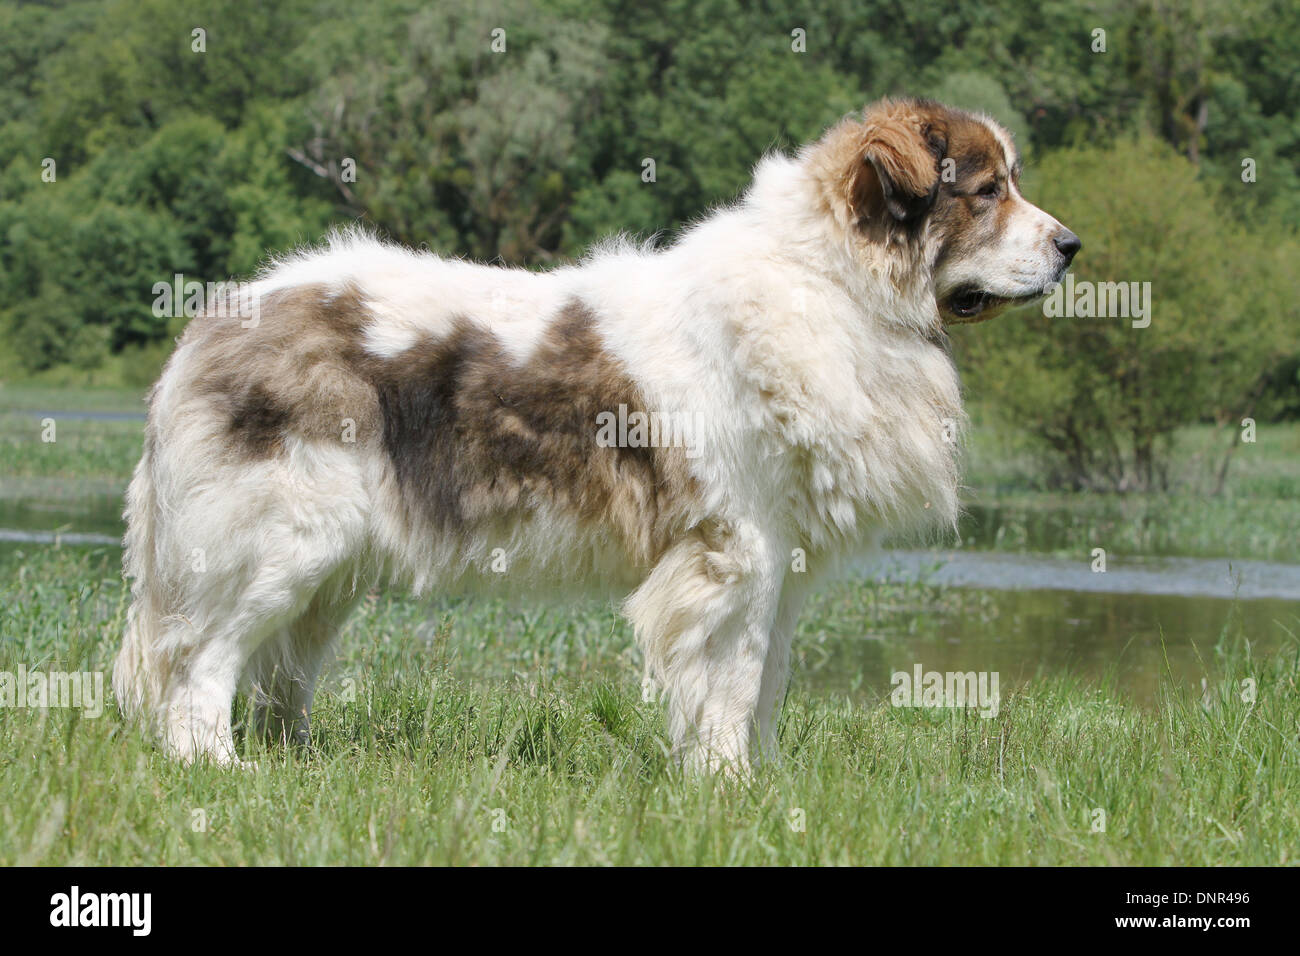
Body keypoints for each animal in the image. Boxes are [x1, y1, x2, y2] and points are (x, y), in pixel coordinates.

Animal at [116, 97, 1081, 770]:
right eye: (988, 191)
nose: (1072, 246)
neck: (836, 282)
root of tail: (218, 317)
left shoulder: (784, 561)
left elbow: (768, 683)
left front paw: (764, 786)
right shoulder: (739, 550)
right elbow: (734, 680)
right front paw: (727, 787)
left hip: (328, 570)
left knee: (278, 669)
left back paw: (300, 763)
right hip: (280, 540)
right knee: (200, 657)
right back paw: (217, 768)